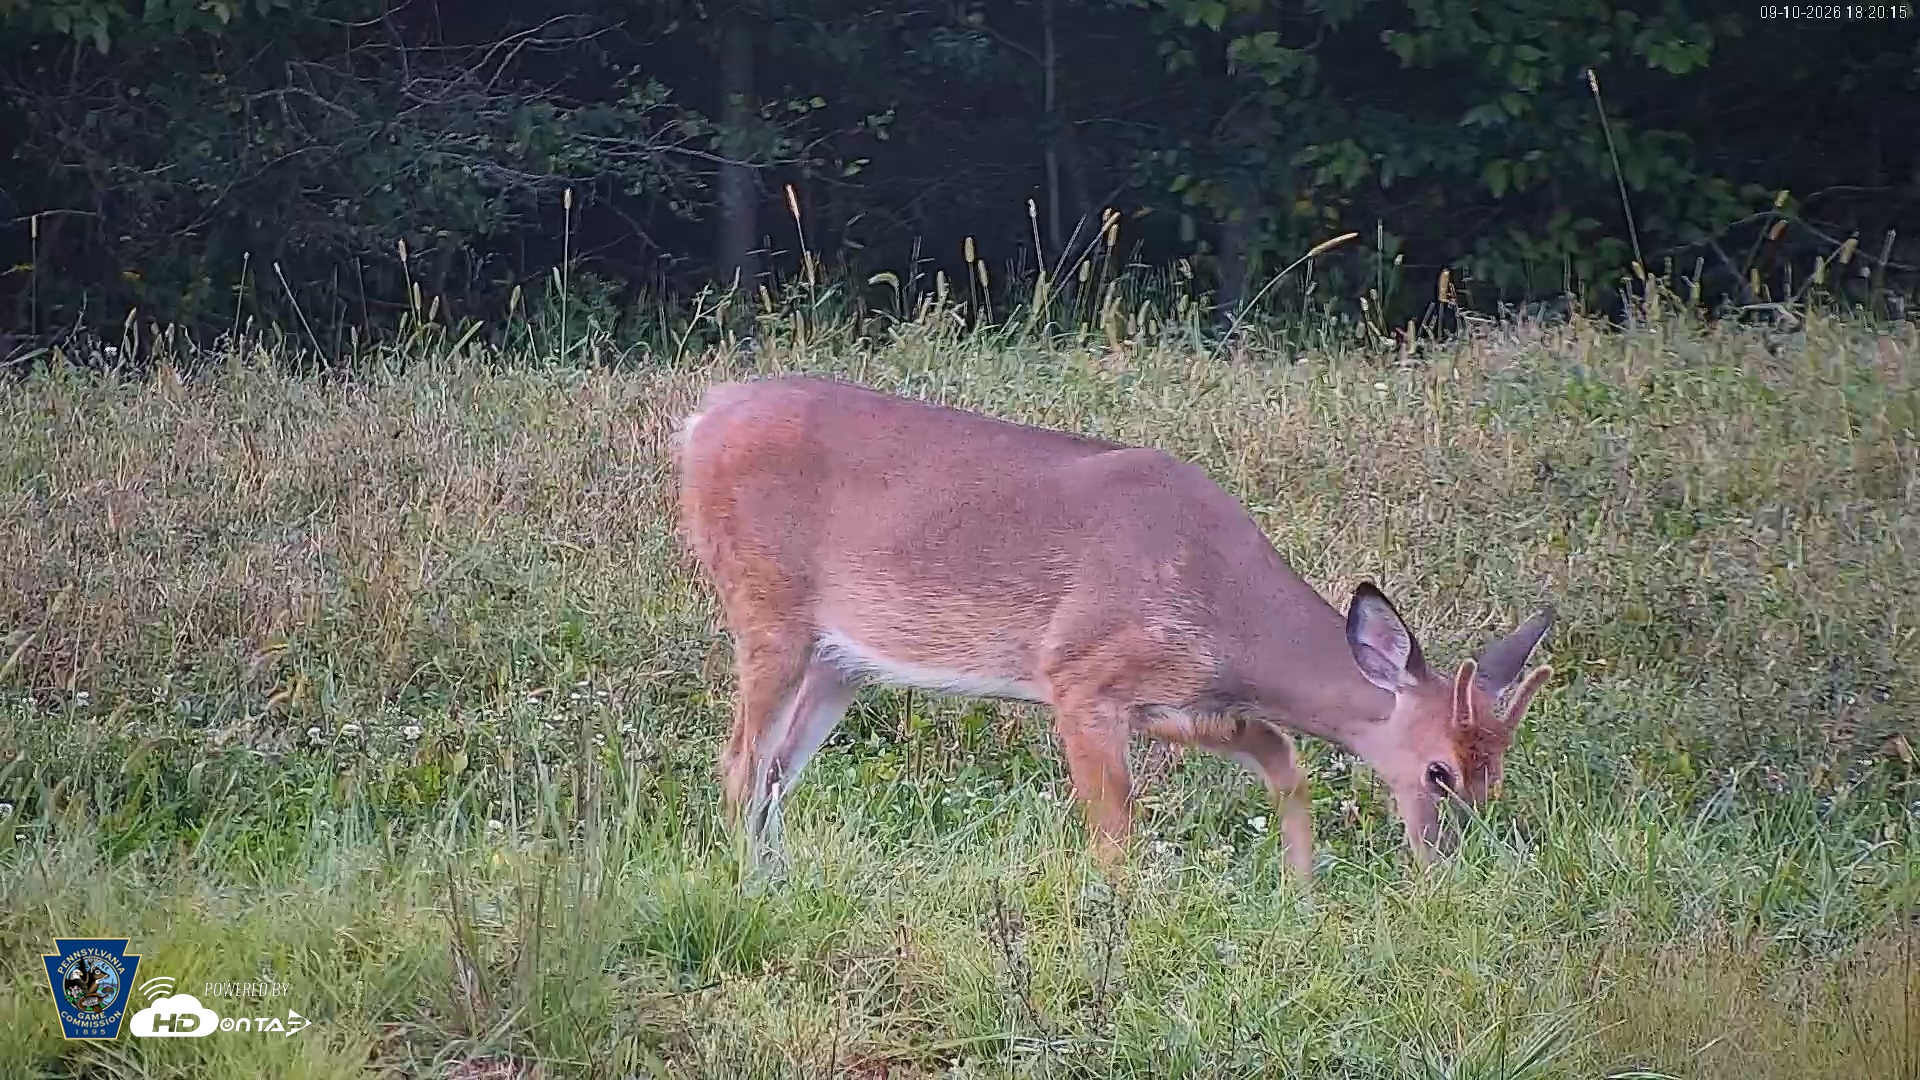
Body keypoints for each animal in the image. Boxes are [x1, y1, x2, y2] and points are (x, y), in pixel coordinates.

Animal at [674, 375, 1555, 874]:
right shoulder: (1081, 675)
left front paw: (1300, 888)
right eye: (1440, 771)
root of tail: (700, 417)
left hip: (841, 660)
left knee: (777, 772)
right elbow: (1115, 828)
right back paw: (751, 884)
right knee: (740, 761)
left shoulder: (1187, 705)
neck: (1229, 614)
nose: (1449, 866)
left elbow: (1285, 761)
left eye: (1496, 772)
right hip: (767, 608)